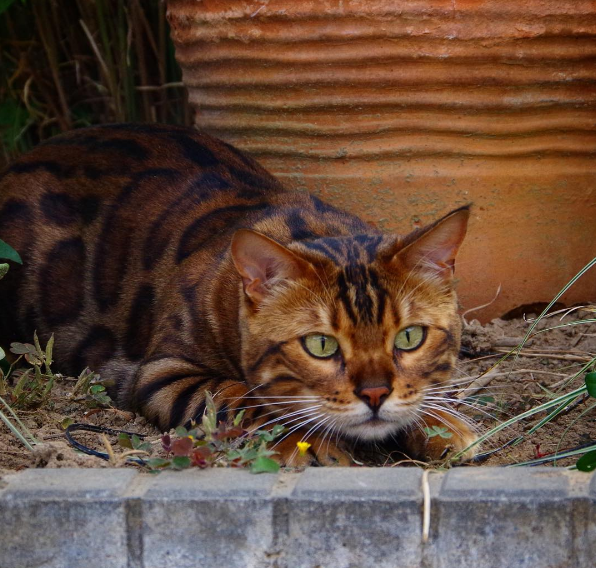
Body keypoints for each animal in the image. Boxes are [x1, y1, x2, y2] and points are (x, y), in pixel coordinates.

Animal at [0, 124, 474, 466]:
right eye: (320, 345)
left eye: (410, 337)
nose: (375, 394)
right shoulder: (162, 374)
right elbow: (240, 396)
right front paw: (310, 443)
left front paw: (445, 424)